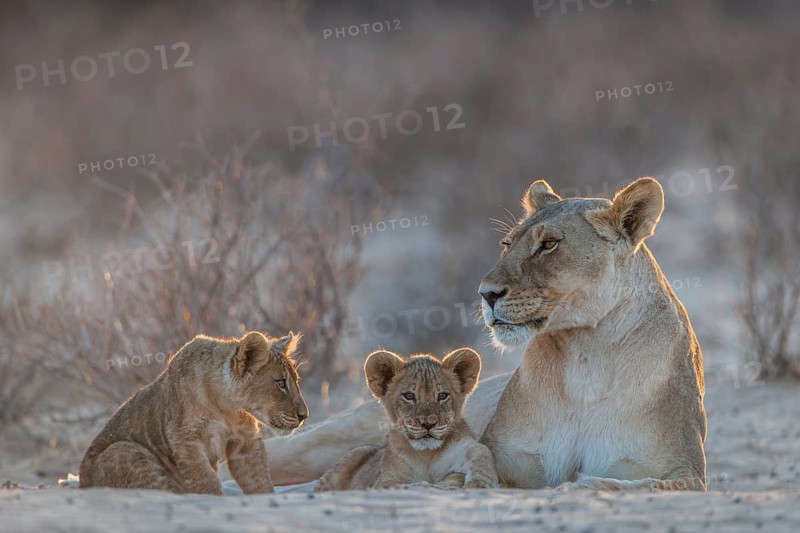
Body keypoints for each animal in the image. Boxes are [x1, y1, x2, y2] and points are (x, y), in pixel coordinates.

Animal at [79, 331, 309, 494]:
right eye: (281, 383)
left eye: (296, 381)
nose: (304, 415)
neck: (227, 408)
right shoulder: (185, 439)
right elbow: (205, 481)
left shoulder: (246, 440)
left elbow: (259, 480)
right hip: (123, 450)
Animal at [317, 348, 497, 491]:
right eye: (409, 396)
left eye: (442, 396)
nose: (428, 424)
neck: (426, 454)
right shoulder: (385, 481)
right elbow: (397, 486)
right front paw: (421, 485)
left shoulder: (465, 446)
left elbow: (481, 453)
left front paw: (480, 483)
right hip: (352, 456)